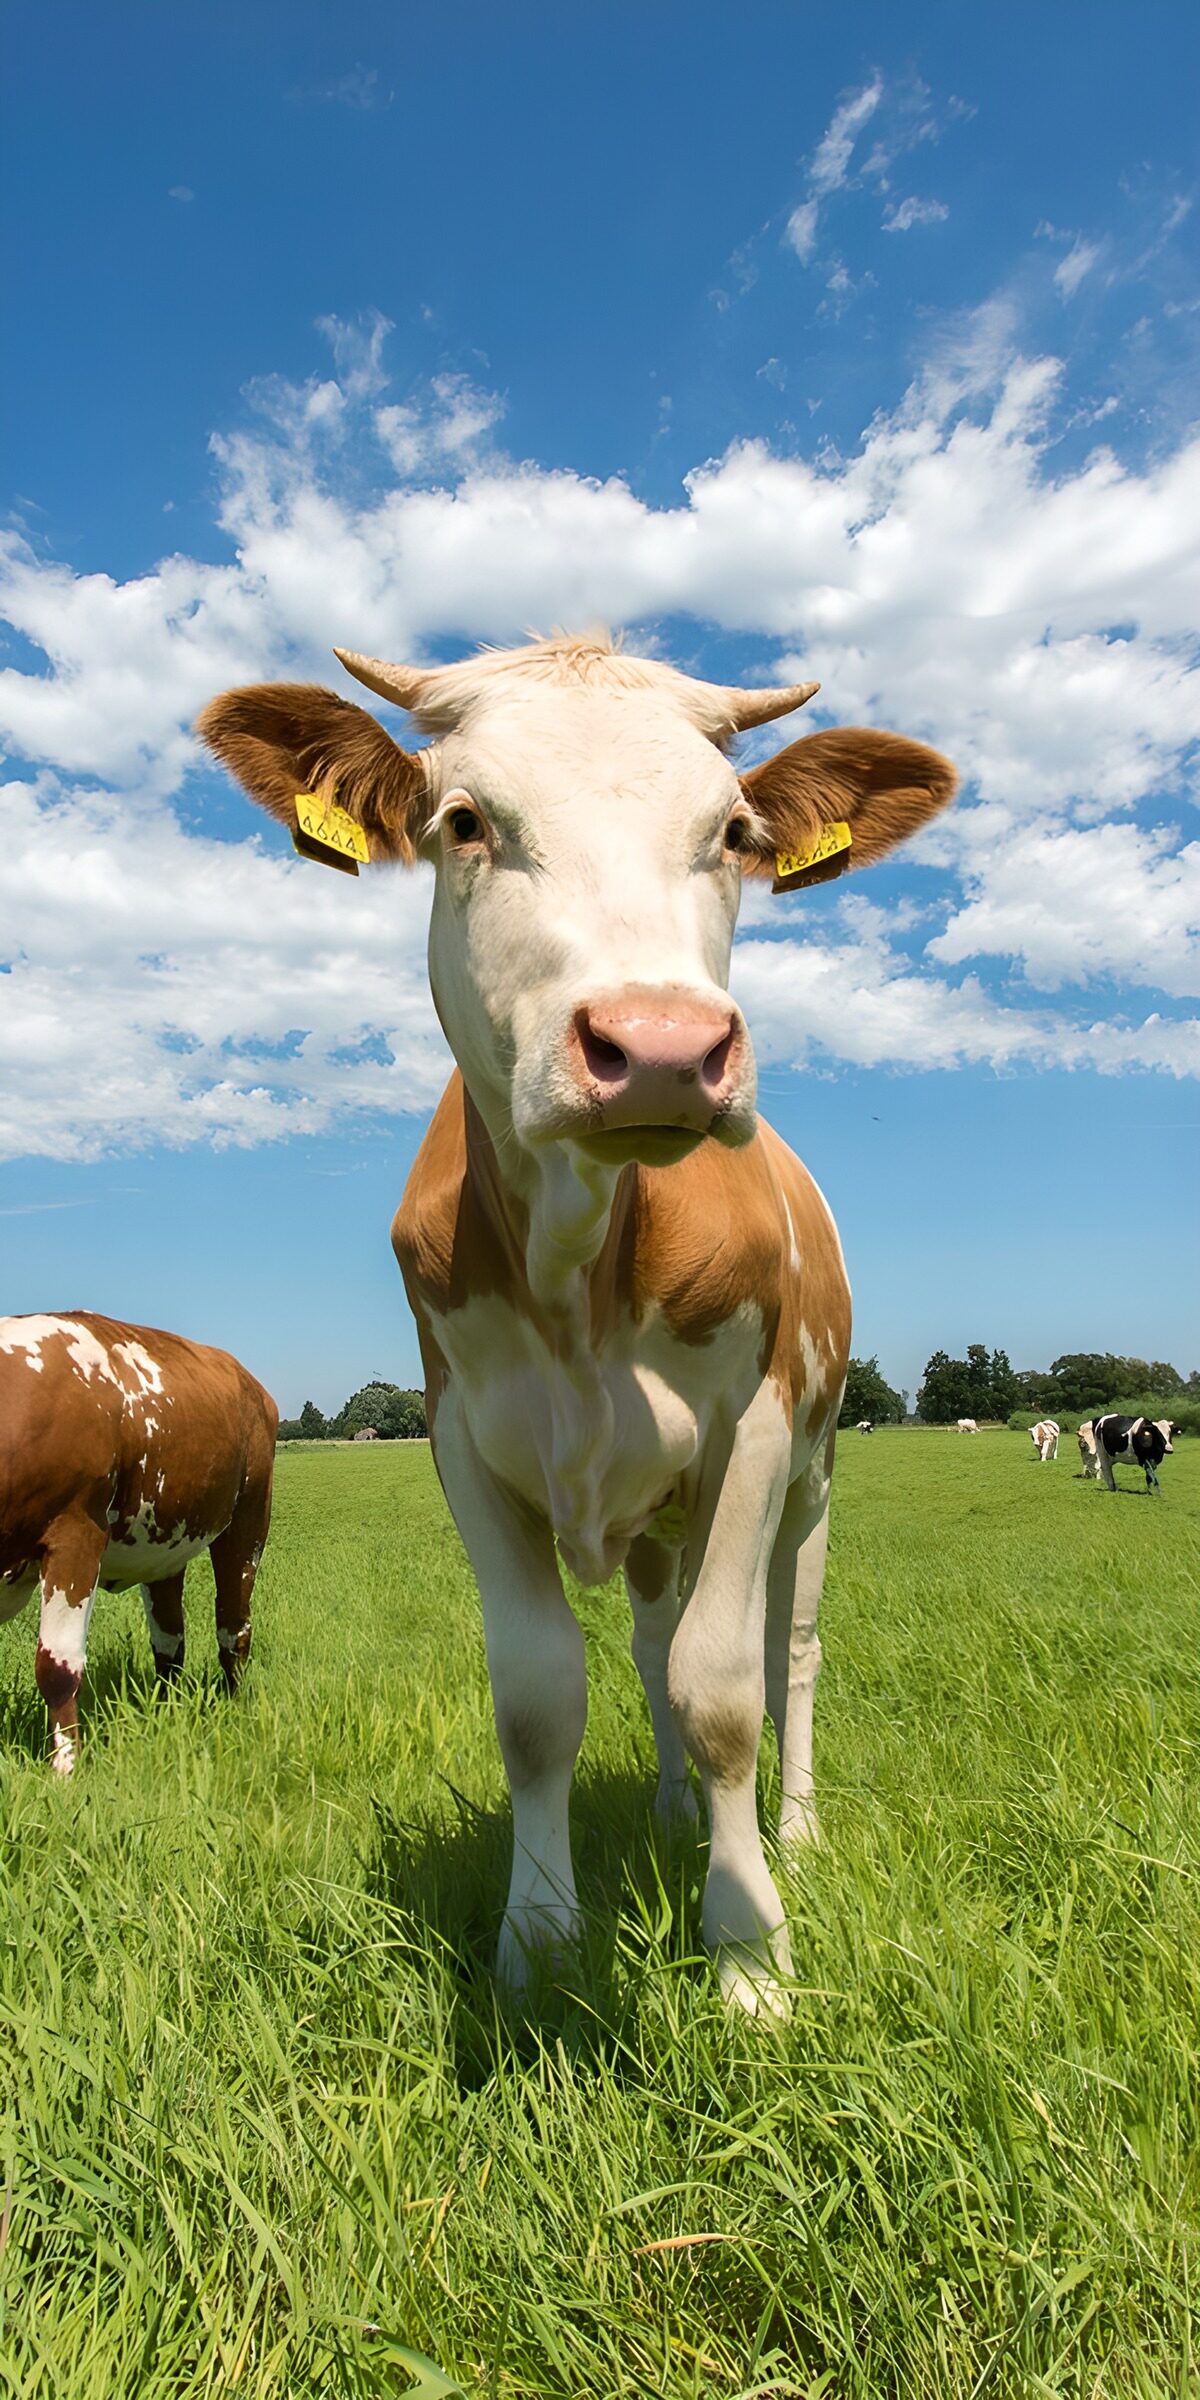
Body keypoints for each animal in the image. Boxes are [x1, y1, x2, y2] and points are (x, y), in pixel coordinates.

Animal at [0, 1313, 277, 1771]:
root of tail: (250, 1381)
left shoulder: (76, 1533)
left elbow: (58, 1666)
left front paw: (66, 1770)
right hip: (165, 1544)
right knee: (169, 1641)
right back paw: (165, 1712)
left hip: (250, 1519)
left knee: (233, 1627)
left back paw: (235, 1705)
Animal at [199, 630, 956, 2013]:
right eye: (462, 821)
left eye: (736, 832)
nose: (660, 1046)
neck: (578, 1258)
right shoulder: (462, 1442)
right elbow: (544, 1696)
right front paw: (538, 1943)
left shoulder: (758, 1430)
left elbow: (726, 1688)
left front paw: (749, 1953)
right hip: (656, 1515)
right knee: (654, 1637)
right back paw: (670, 1811)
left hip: (816, 1474)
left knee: (792, 1645)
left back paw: (794, 1831)